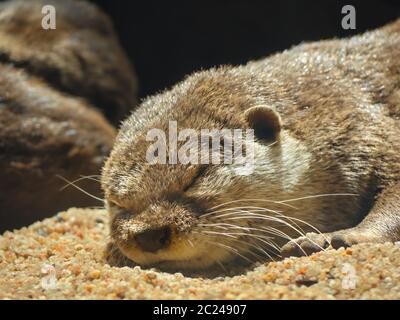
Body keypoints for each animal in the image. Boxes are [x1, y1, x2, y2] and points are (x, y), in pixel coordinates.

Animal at [100, 19, 400, 272]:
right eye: (116, 202)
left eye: (197, 176)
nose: (149, 235)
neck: (329, 106)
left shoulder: (368, 129)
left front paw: (332, 237)